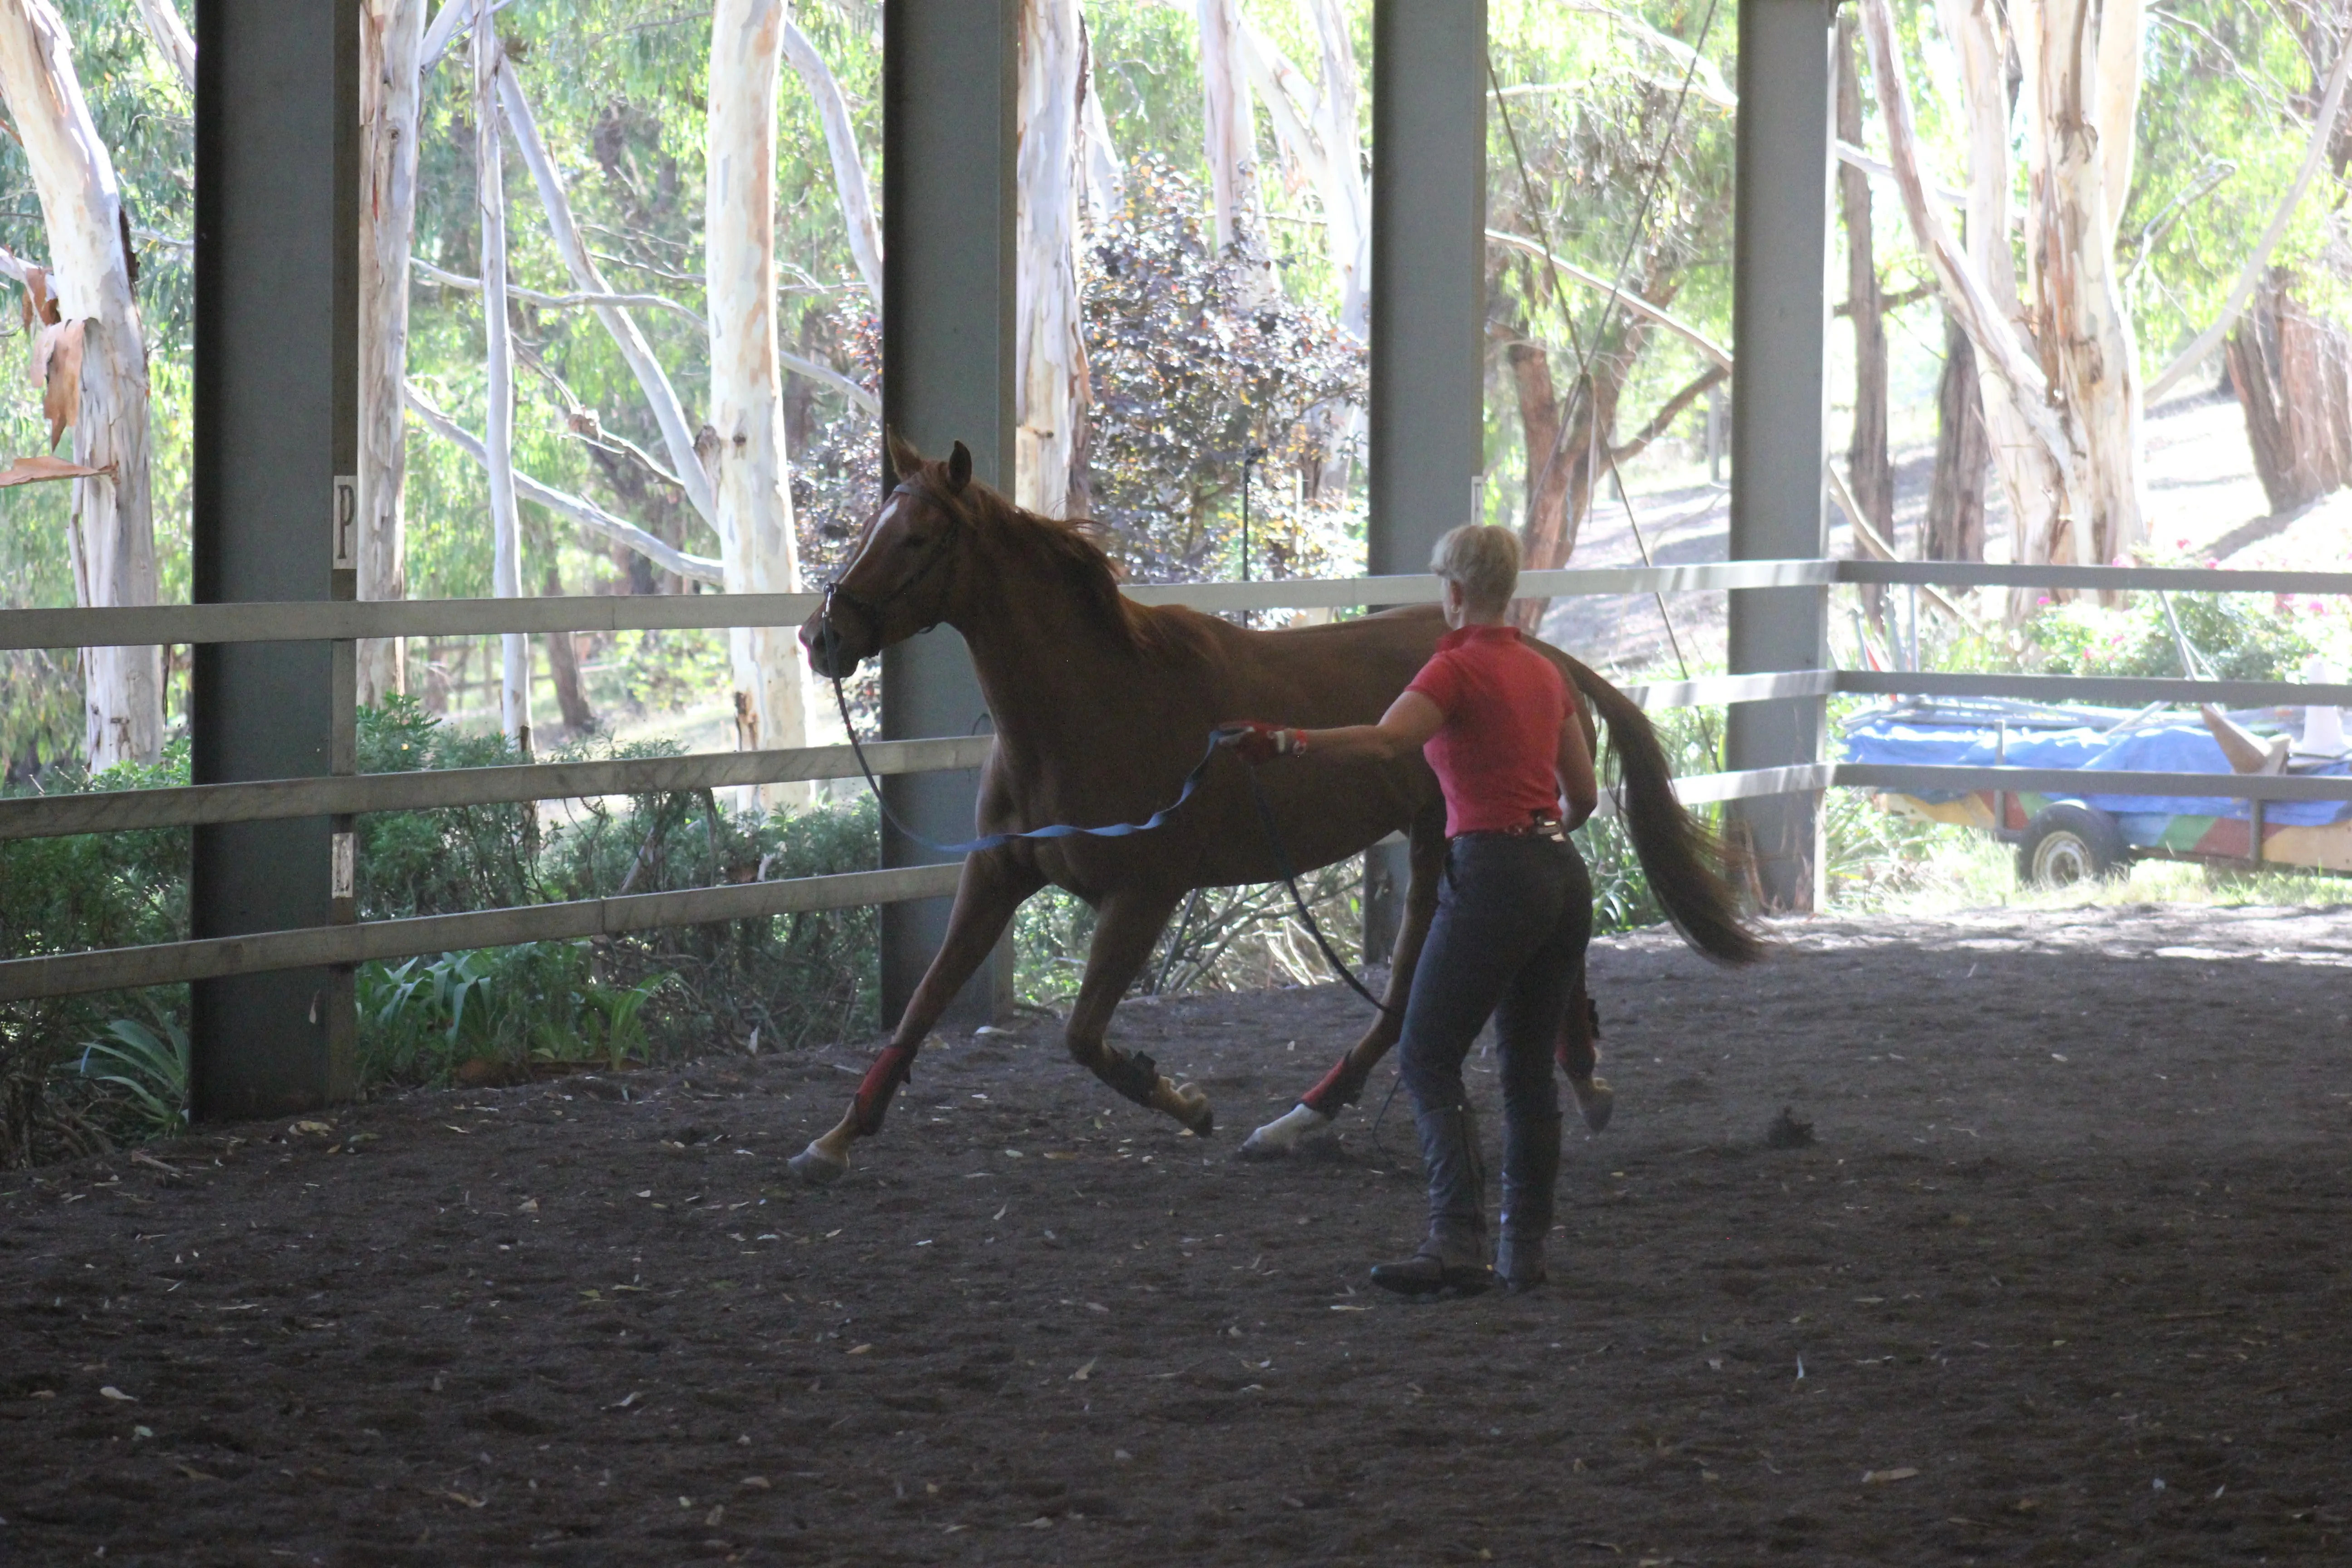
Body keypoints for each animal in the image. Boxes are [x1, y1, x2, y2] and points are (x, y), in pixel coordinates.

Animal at [790, 435, 1769, 1185]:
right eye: (869, 527)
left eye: (916, 538)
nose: (822, 635)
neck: (1090, 708)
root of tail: (1536, 649)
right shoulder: (997, 874)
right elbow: (921, 1007)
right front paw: (834, 1139)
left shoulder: (1145, 893)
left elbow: (1082, 1036)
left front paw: (1184, 1101)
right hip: (1440, 842)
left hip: (1442, 843)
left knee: (1411, 992)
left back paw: (1309, 1117)